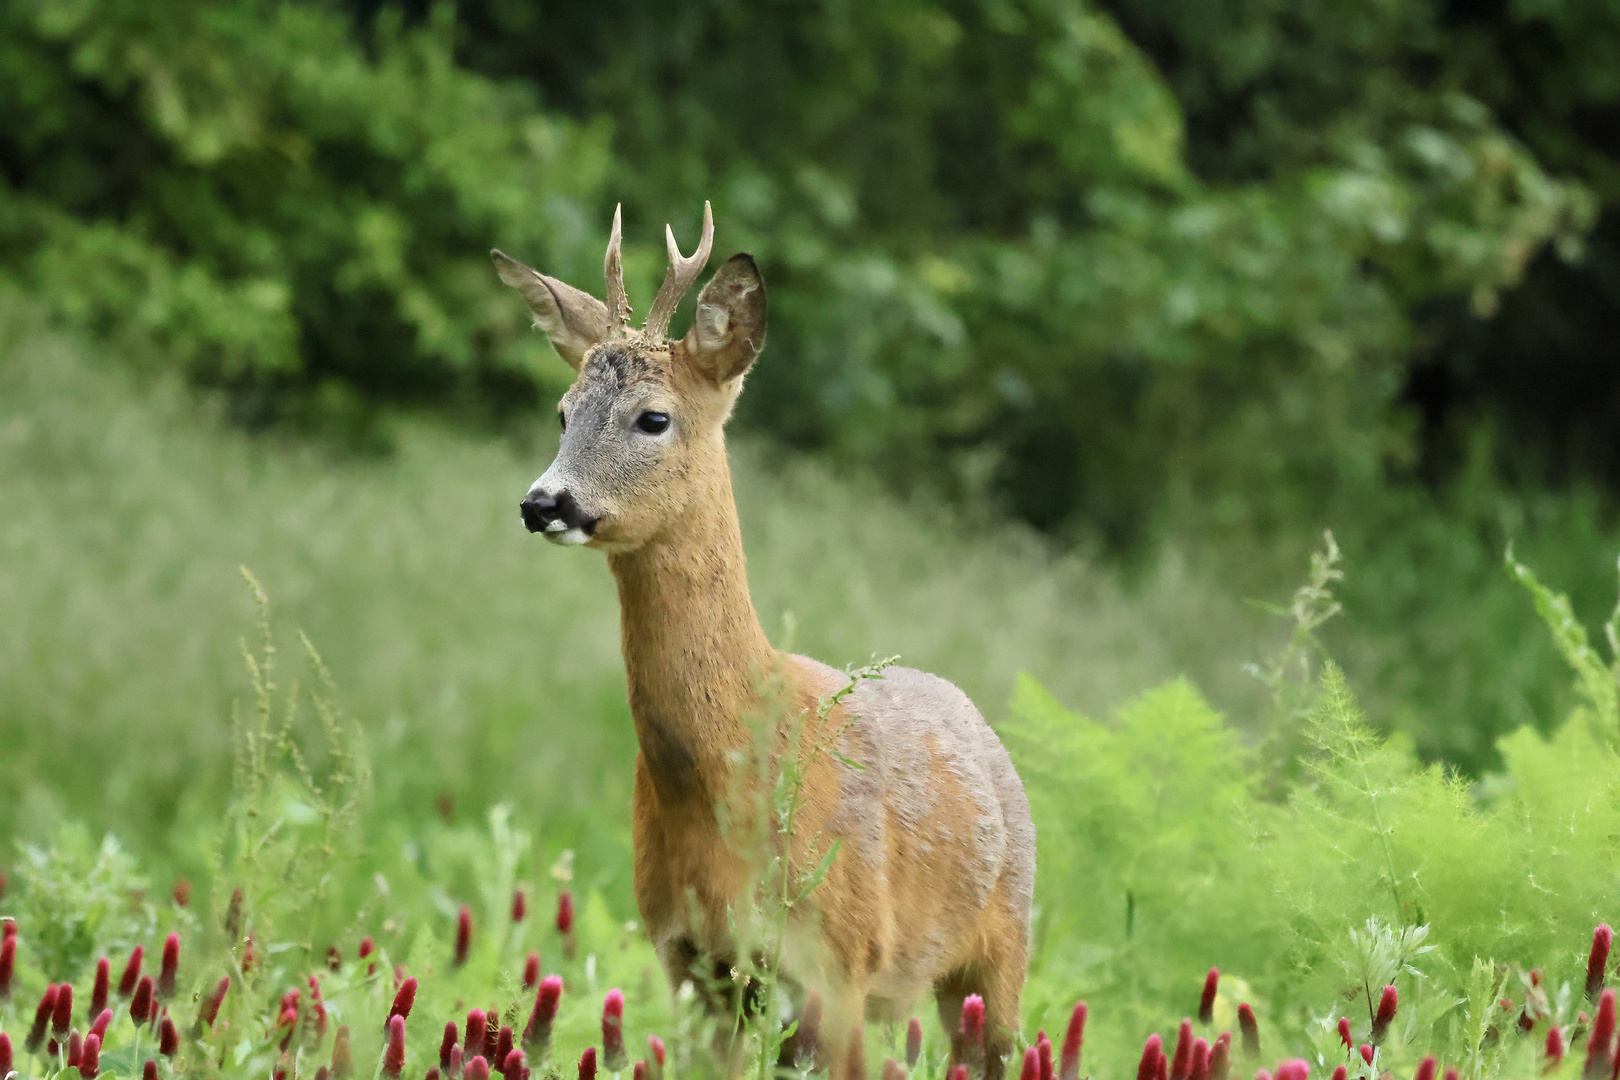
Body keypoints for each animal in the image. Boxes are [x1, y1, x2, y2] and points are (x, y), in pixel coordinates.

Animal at [489, 207, 1036, 1075]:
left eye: (654, 417)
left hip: (1003, 943)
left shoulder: (839, 958)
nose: (544, 502)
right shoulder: (689, 954)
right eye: (563, 411)